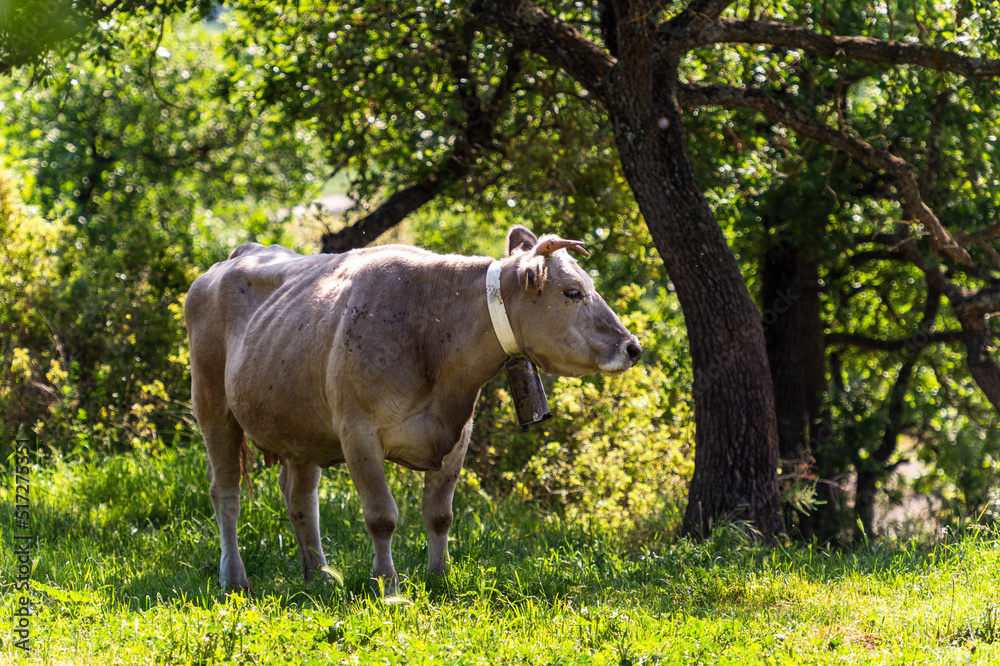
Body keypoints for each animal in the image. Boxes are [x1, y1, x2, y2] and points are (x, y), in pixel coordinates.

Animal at [184, 225, 642, 594]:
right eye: (573, 292)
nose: (633, 346)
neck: (432, 329)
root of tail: (238, 254)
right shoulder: (358, 433)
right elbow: (382, 516)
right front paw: (388, 585)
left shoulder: (458, 434)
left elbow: (440, 515)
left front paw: (439, 577)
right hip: (212, 404)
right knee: (225, 493)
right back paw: (235, 578)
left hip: (300, 426)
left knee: (300, 497)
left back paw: (320, 576)